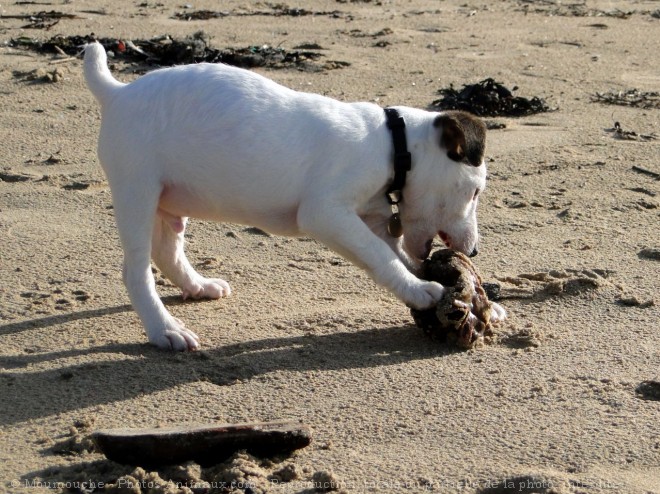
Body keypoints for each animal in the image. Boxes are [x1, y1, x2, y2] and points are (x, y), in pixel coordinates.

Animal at [82, 43, 506, 352]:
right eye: (475, 191)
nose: (474, 252)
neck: (394, 143)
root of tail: (117, 93)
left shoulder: (373, 221)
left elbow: (396, 255)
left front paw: (480, 301)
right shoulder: (326, 213)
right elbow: (382, 258)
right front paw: (422, 291)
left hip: (169, 200)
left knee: (167, 250)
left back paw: (197, 286)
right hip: (136, 189)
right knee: (136, 269)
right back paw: (163, 329)